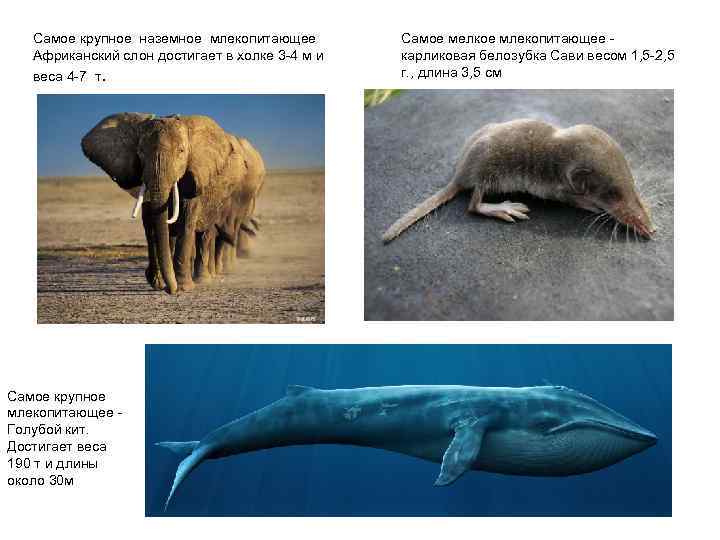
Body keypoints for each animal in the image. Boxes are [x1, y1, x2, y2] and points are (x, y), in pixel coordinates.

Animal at [81, 113, 266, 294]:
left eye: (181, 151)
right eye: (140, 152)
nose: (170, 290)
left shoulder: (194, 176)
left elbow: (185, 221)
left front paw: (183, 287)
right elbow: (151, 223)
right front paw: (157, 283)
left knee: (207, 232)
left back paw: (204, 279)